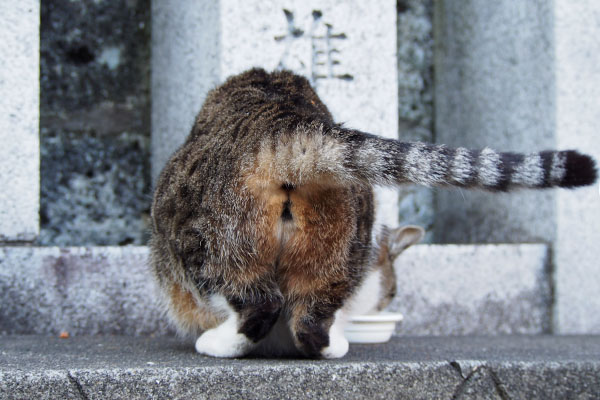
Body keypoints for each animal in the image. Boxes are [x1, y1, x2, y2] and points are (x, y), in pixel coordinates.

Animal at [150, 68, 596, 360]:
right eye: (393, 293)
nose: (386, 305)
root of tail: (286, 125)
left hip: (204, 244)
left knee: (258, 304)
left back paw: (217, 343)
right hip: (340, 244)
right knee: (311, 321)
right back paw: (332, 346)